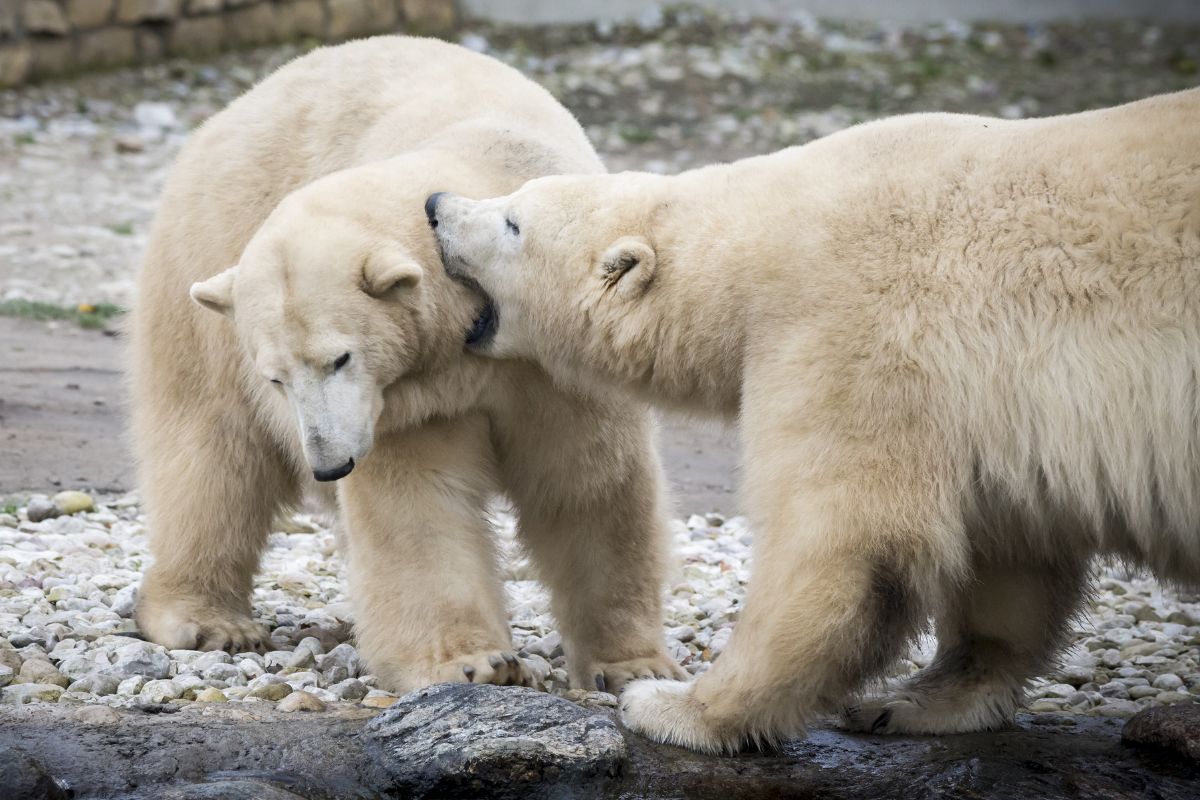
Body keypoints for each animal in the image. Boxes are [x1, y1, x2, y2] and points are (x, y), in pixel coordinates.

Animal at [129, 38, 686, 695]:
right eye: (277, 377)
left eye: (339, 358)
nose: (329, 464)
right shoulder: (408, 400)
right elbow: (420, 502)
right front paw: (475, 663)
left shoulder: (552, 358)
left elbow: (589, 483)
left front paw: (633, 664)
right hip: (200, 271)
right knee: (213, 453)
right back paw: (206, 621)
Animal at [427, 90, 1200, 753]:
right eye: (510, 201)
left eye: (512, 222)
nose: (435, 205)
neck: (754, 246)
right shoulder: (990, 408)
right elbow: (1011, 549)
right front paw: (914, 700)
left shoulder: (849, 328)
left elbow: (842, 542)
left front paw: (676, 707)